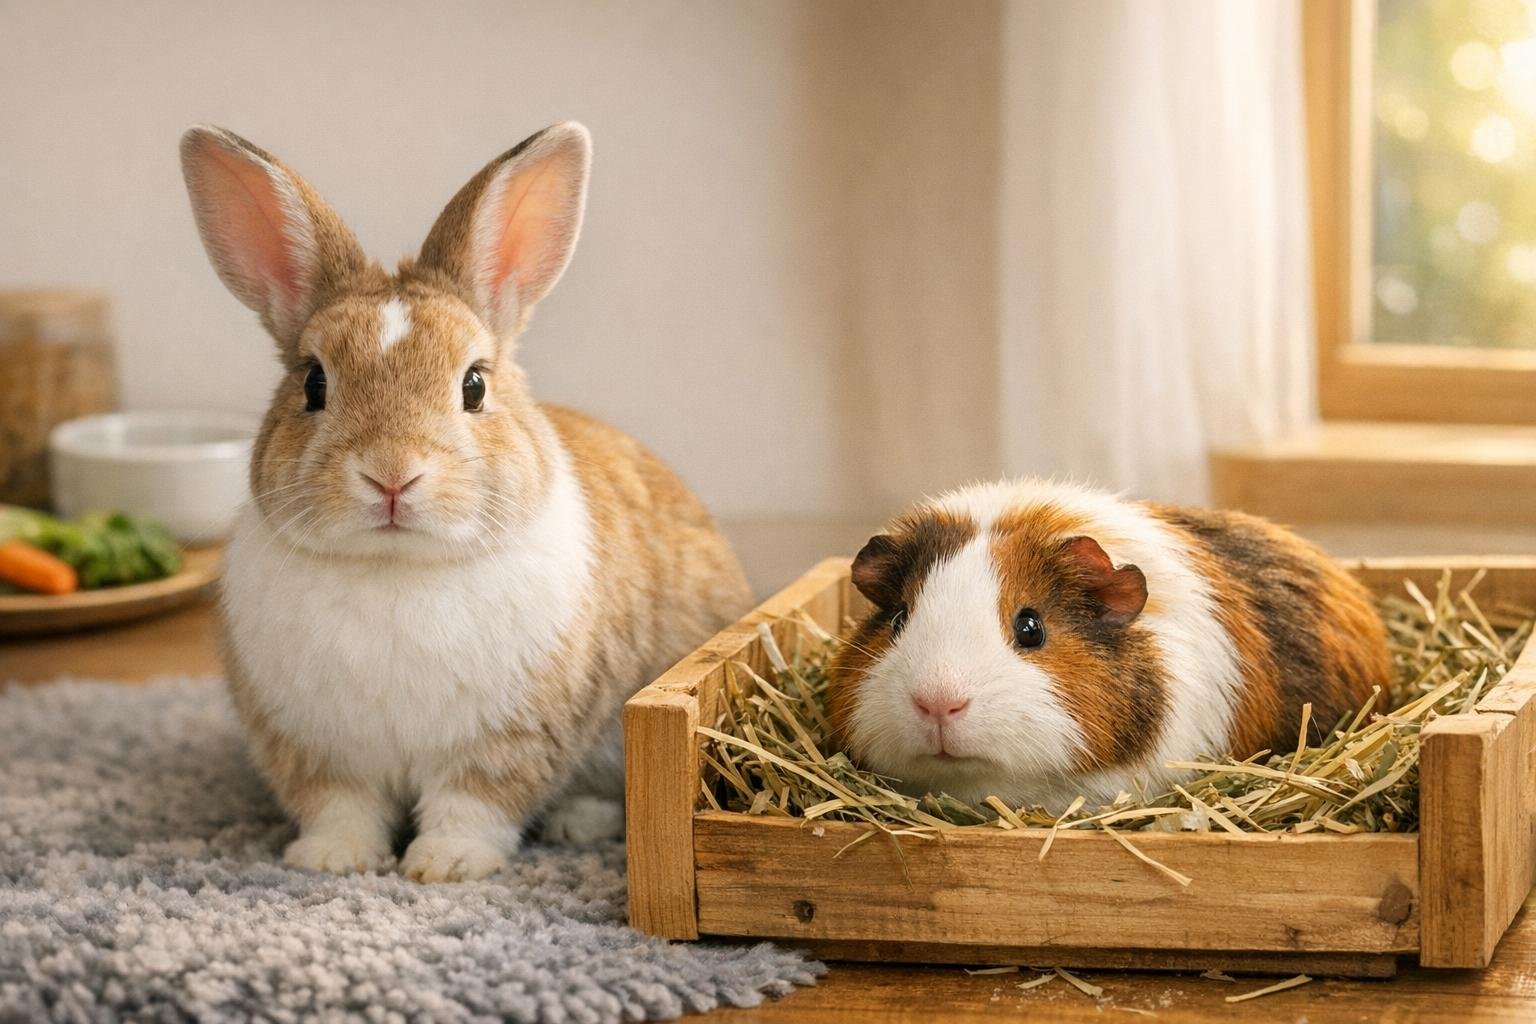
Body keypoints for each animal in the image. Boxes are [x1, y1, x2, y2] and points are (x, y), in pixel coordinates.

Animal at [180, 122, 753, 881]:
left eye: (474, 385)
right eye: (313, 383)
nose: (392, 475)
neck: (395, 568)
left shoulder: (509, 740)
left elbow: (475, 802)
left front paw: (444, 867)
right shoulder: (316, 749)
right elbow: (340, 806)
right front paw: (334, 860)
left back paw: (577, 822)